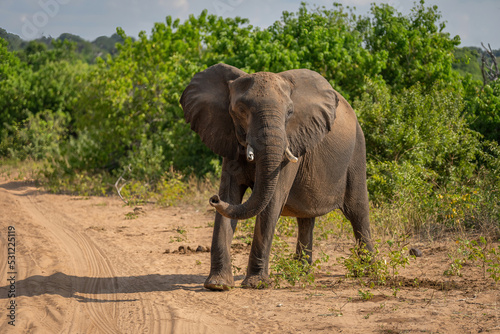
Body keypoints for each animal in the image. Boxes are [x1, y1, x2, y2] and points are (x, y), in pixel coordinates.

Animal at [179, 62, 372, 290]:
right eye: (241, 110)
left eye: (290, 112)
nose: (213, 199)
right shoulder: (230, 139)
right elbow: (231, 195)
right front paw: (218, 285)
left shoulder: (290, 145)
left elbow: (272, 202)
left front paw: (255, 284)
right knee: (306, 218)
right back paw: (301, 272)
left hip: (357, 150)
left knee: (357, 211)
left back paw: (368, 270)